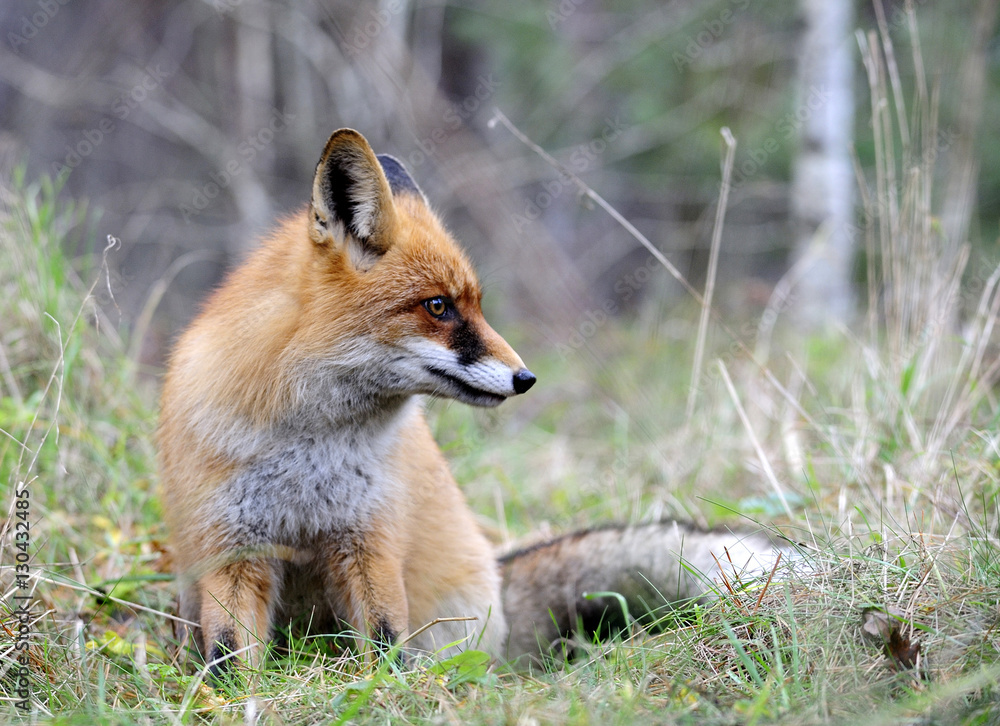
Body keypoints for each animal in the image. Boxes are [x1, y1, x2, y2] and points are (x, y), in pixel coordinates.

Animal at [158, 128, 794, 674]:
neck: (307, 446)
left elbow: (384, 645)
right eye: (438, 307)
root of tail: (497, 573)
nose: (527, 378)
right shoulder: (229, 550)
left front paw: (388, 695)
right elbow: (229, 659)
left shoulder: (369, 541)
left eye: (477, 306)